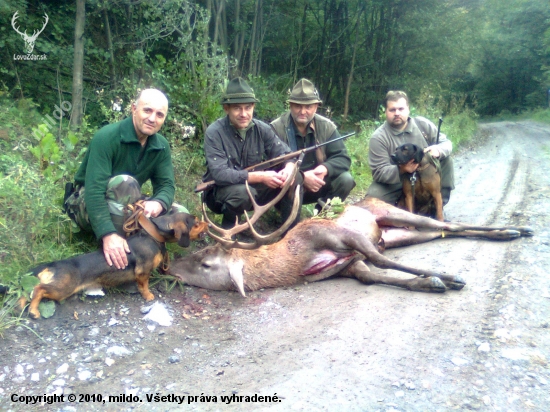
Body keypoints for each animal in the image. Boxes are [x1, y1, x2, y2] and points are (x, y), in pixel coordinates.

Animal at [23, 206, 210, 318]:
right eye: (196, 223)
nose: (208, 224)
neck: (153, 234)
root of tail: (52, 265)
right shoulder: (142, 272)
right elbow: (144, 285)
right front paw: (148, 295)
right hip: (63, 288)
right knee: (39, 289)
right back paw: (34, 311)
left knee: (30, 292)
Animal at [171, 163, 536, 296]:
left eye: (206, 262)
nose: (169, 267)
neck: (296, 263)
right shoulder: (348, 266)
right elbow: (376, 275)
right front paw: (428, 282)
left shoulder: (343, 236)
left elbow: (382, 261)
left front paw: (446, 277)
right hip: (397, 232)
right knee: (442, 231)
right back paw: (509, 232)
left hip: (392, 212)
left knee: (445, 222)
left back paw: (514, 230)